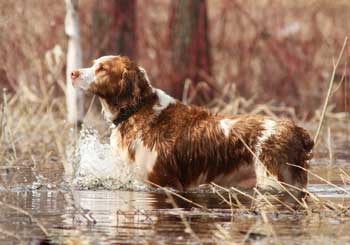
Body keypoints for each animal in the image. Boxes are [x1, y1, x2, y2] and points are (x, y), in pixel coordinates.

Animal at [69, 56, 314, 192]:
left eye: (102, 69)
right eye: (93, 64)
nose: (72, 72)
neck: (137, 111)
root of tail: (297, 130)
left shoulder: (164, 181)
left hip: (274, 179)